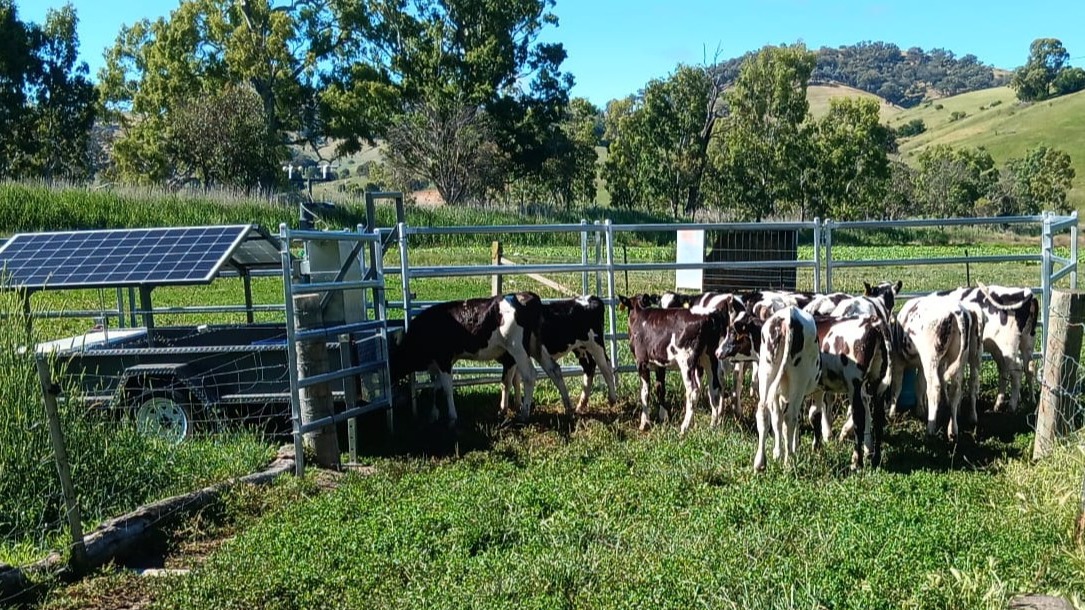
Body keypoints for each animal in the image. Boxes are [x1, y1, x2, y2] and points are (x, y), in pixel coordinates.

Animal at [389, 292, 568, 425]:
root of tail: (526, 296)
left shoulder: (444, 359)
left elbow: (446, 388)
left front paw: (452, 417)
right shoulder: (441, 362)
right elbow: (435, 387)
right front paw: (433, 414)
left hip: (518, 348)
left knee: (530, 375)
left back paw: (524, 414)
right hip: (535, 345)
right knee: (554, 369)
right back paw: (569, 407)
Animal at [619, 294, 728, 434]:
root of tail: (709, 316)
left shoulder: (641, 362)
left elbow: (644, 392)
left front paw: (644, 423)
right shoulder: (660, 365)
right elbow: (660, 388)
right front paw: (663, 417)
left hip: (686, 361)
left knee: (693, 390)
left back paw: (684, 428)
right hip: (709, 358)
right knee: (714, 388)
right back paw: (713, 425)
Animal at [934, 283, 1039, 412]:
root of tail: (1025, 292)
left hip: (1008, 347)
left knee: (1017, 370)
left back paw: (1012, 406)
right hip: (1025, 342)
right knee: (1028, 367)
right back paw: (1029, 401)